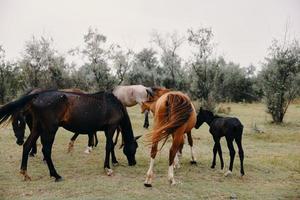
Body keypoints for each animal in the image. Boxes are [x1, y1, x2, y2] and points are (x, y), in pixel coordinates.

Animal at [0, 90, 140, 181]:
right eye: (135, 148)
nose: (133, 163)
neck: (115, 104)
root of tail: (37, 95)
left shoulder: (110, 129)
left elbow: (111, 146)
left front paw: (114, 161)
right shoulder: (111, 127)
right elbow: (109, 146)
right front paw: (108, 168)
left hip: (37, 128)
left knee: (27, 145)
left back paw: (25, 173)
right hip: (50, 129)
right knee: (46, 150)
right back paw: (55, 175)